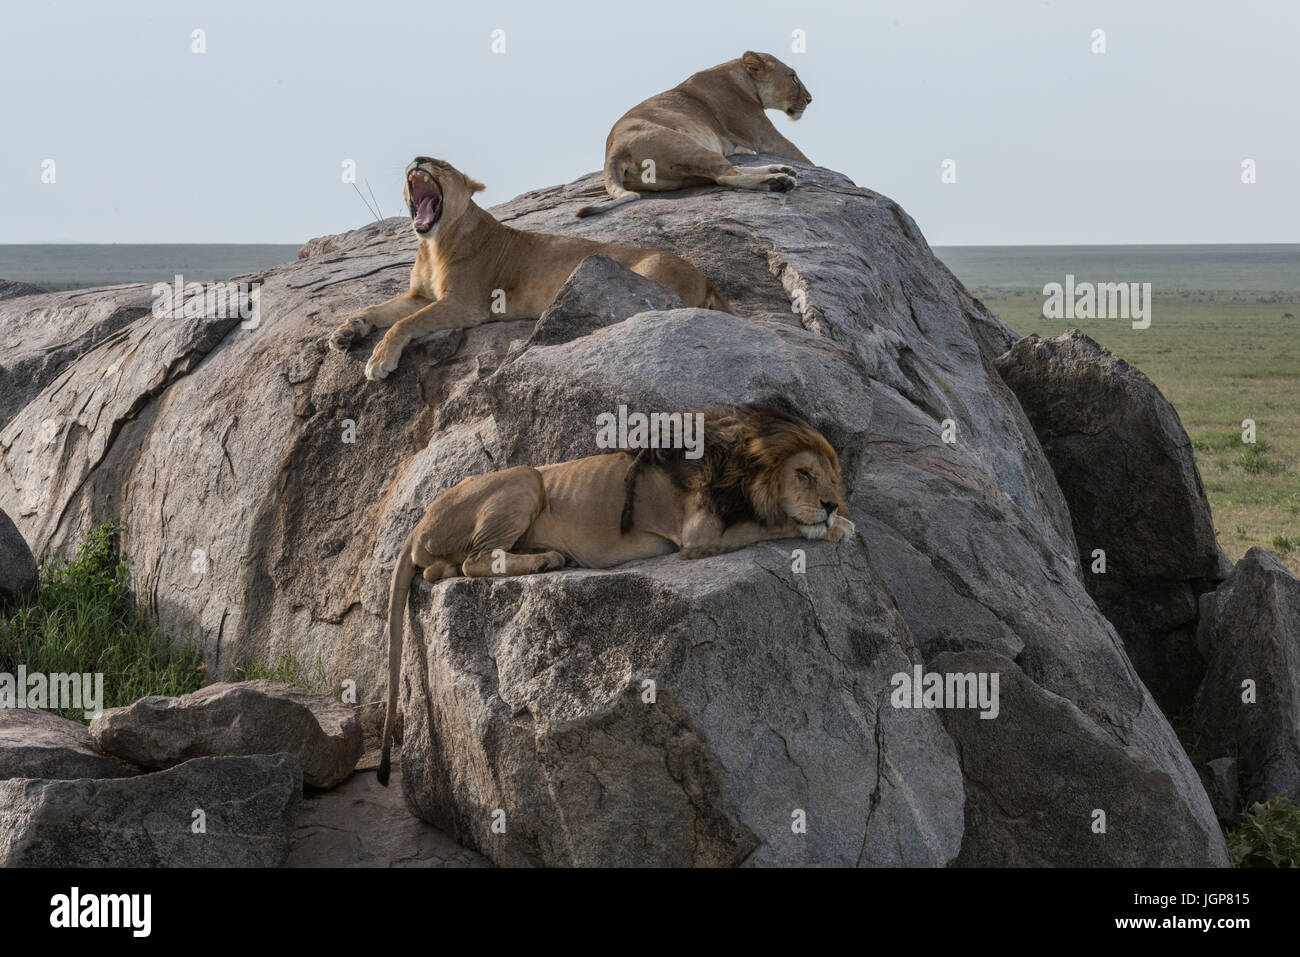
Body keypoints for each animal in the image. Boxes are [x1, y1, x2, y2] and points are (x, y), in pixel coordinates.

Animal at [328, 156, 730, 380]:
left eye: (441, 165)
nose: (417, 160)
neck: (432, 243)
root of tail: (706, 278)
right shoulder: (419, 295)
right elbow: (377, 309)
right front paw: (346, 332)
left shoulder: (466, 304)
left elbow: (405, 323)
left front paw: (379, 360)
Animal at [376, 403, 854, 784]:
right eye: (804, 474)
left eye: (832, 478)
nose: (831, 504)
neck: (743, 466)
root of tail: (419, 521)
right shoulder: (700, 534)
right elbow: (773, 523)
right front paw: (833, 527)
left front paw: (838, 522)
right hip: (524, 477)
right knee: (474, 562)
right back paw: (547, 560)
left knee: (442, 569)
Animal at [575, 51, 814, 218]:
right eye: (793, 77)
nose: (810, 99)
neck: (741, 75)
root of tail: (613, 151)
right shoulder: (764, 137)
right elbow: (802, 156)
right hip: (684, 145)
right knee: (725, 175)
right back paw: (778, 181)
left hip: (680, 174)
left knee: (724, 171)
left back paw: (780, 169)